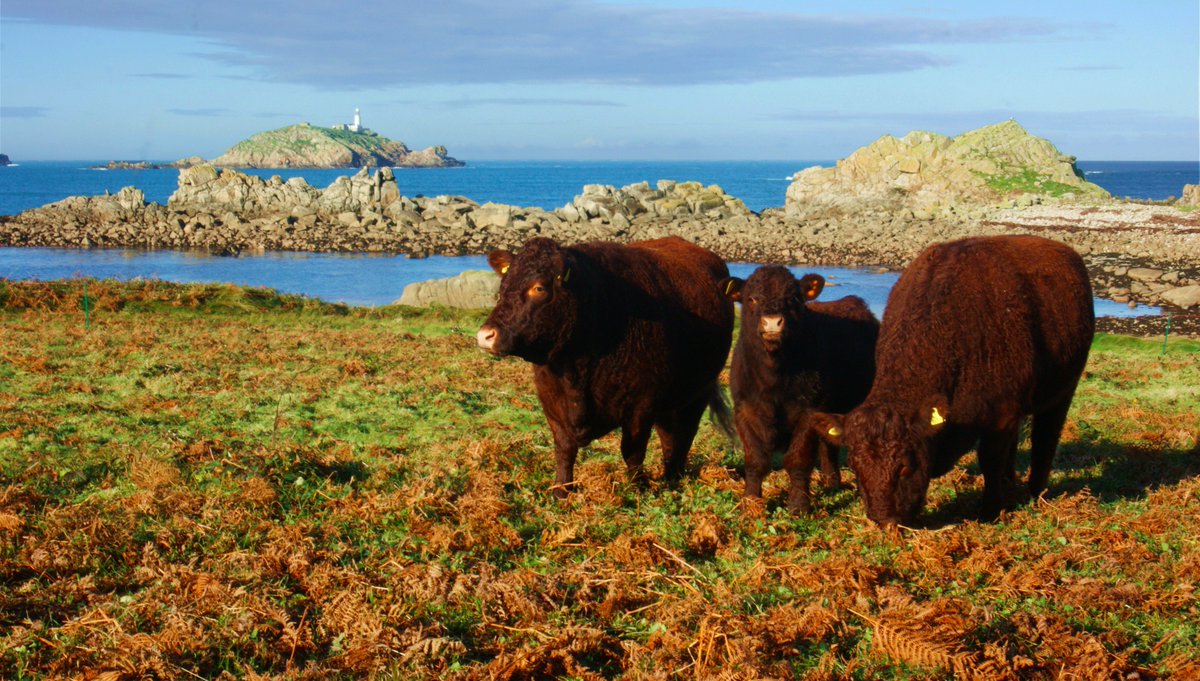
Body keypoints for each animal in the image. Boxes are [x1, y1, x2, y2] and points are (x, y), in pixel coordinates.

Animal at [477, 236, 735, 497]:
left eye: (538, 288)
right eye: (503, 286)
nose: (485, 335)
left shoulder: (641, 406)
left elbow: (632, 451)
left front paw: (635, 488)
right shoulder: (552, 401)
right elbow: (564, 449)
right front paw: (561, 490)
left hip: (698, 392)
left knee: (683, 434)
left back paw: (674, 477)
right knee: (669, 436)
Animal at [721, 266, 879, 513]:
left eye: (793, 298)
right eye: (751, 298)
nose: (772, 322)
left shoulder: (809, 412)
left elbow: (798, 460)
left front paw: (798, 506)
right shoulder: (744, 410)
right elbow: (755, 460)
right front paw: (751, 502)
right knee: (828, 446)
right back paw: (831, 482)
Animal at [810, 235, 1095, 529]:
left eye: (905, 465)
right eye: (856, 467)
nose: (883, 519)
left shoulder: (1000, 417)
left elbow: (990, 460)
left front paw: (990, 512)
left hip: (1062, 393)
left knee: (1045, 441)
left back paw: (1037, 493)